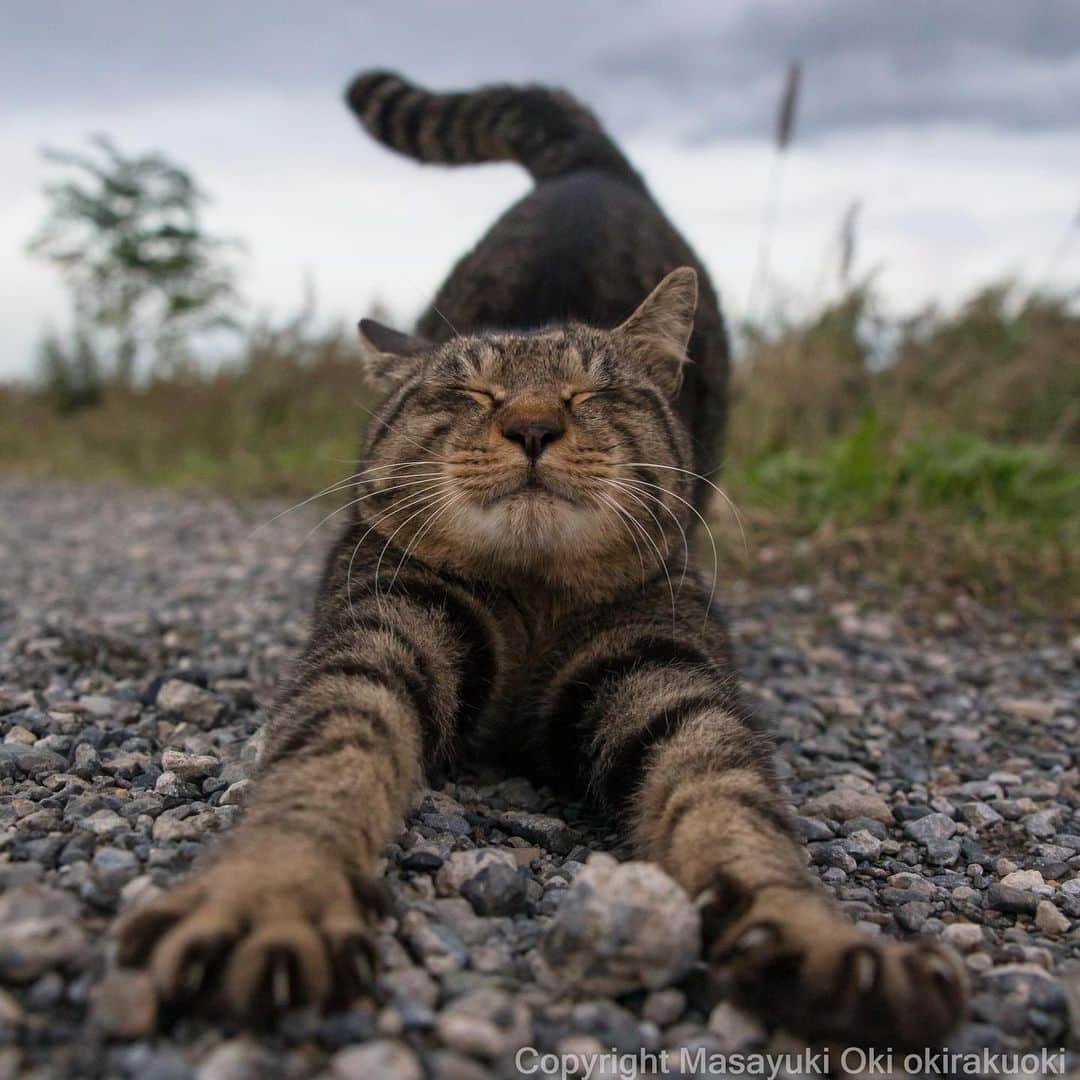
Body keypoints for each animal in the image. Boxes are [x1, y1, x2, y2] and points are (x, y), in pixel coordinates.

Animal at [113, 71, 967, 1041]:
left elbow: (729, 800)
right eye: (468, 392)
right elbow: (329, 756)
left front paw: (816, 941)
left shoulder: (665, 670)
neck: (533, 601)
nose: (530, 426)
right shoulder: (383, 629)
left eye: (590, 393)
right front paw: (270, 896)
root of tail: (589, 166)